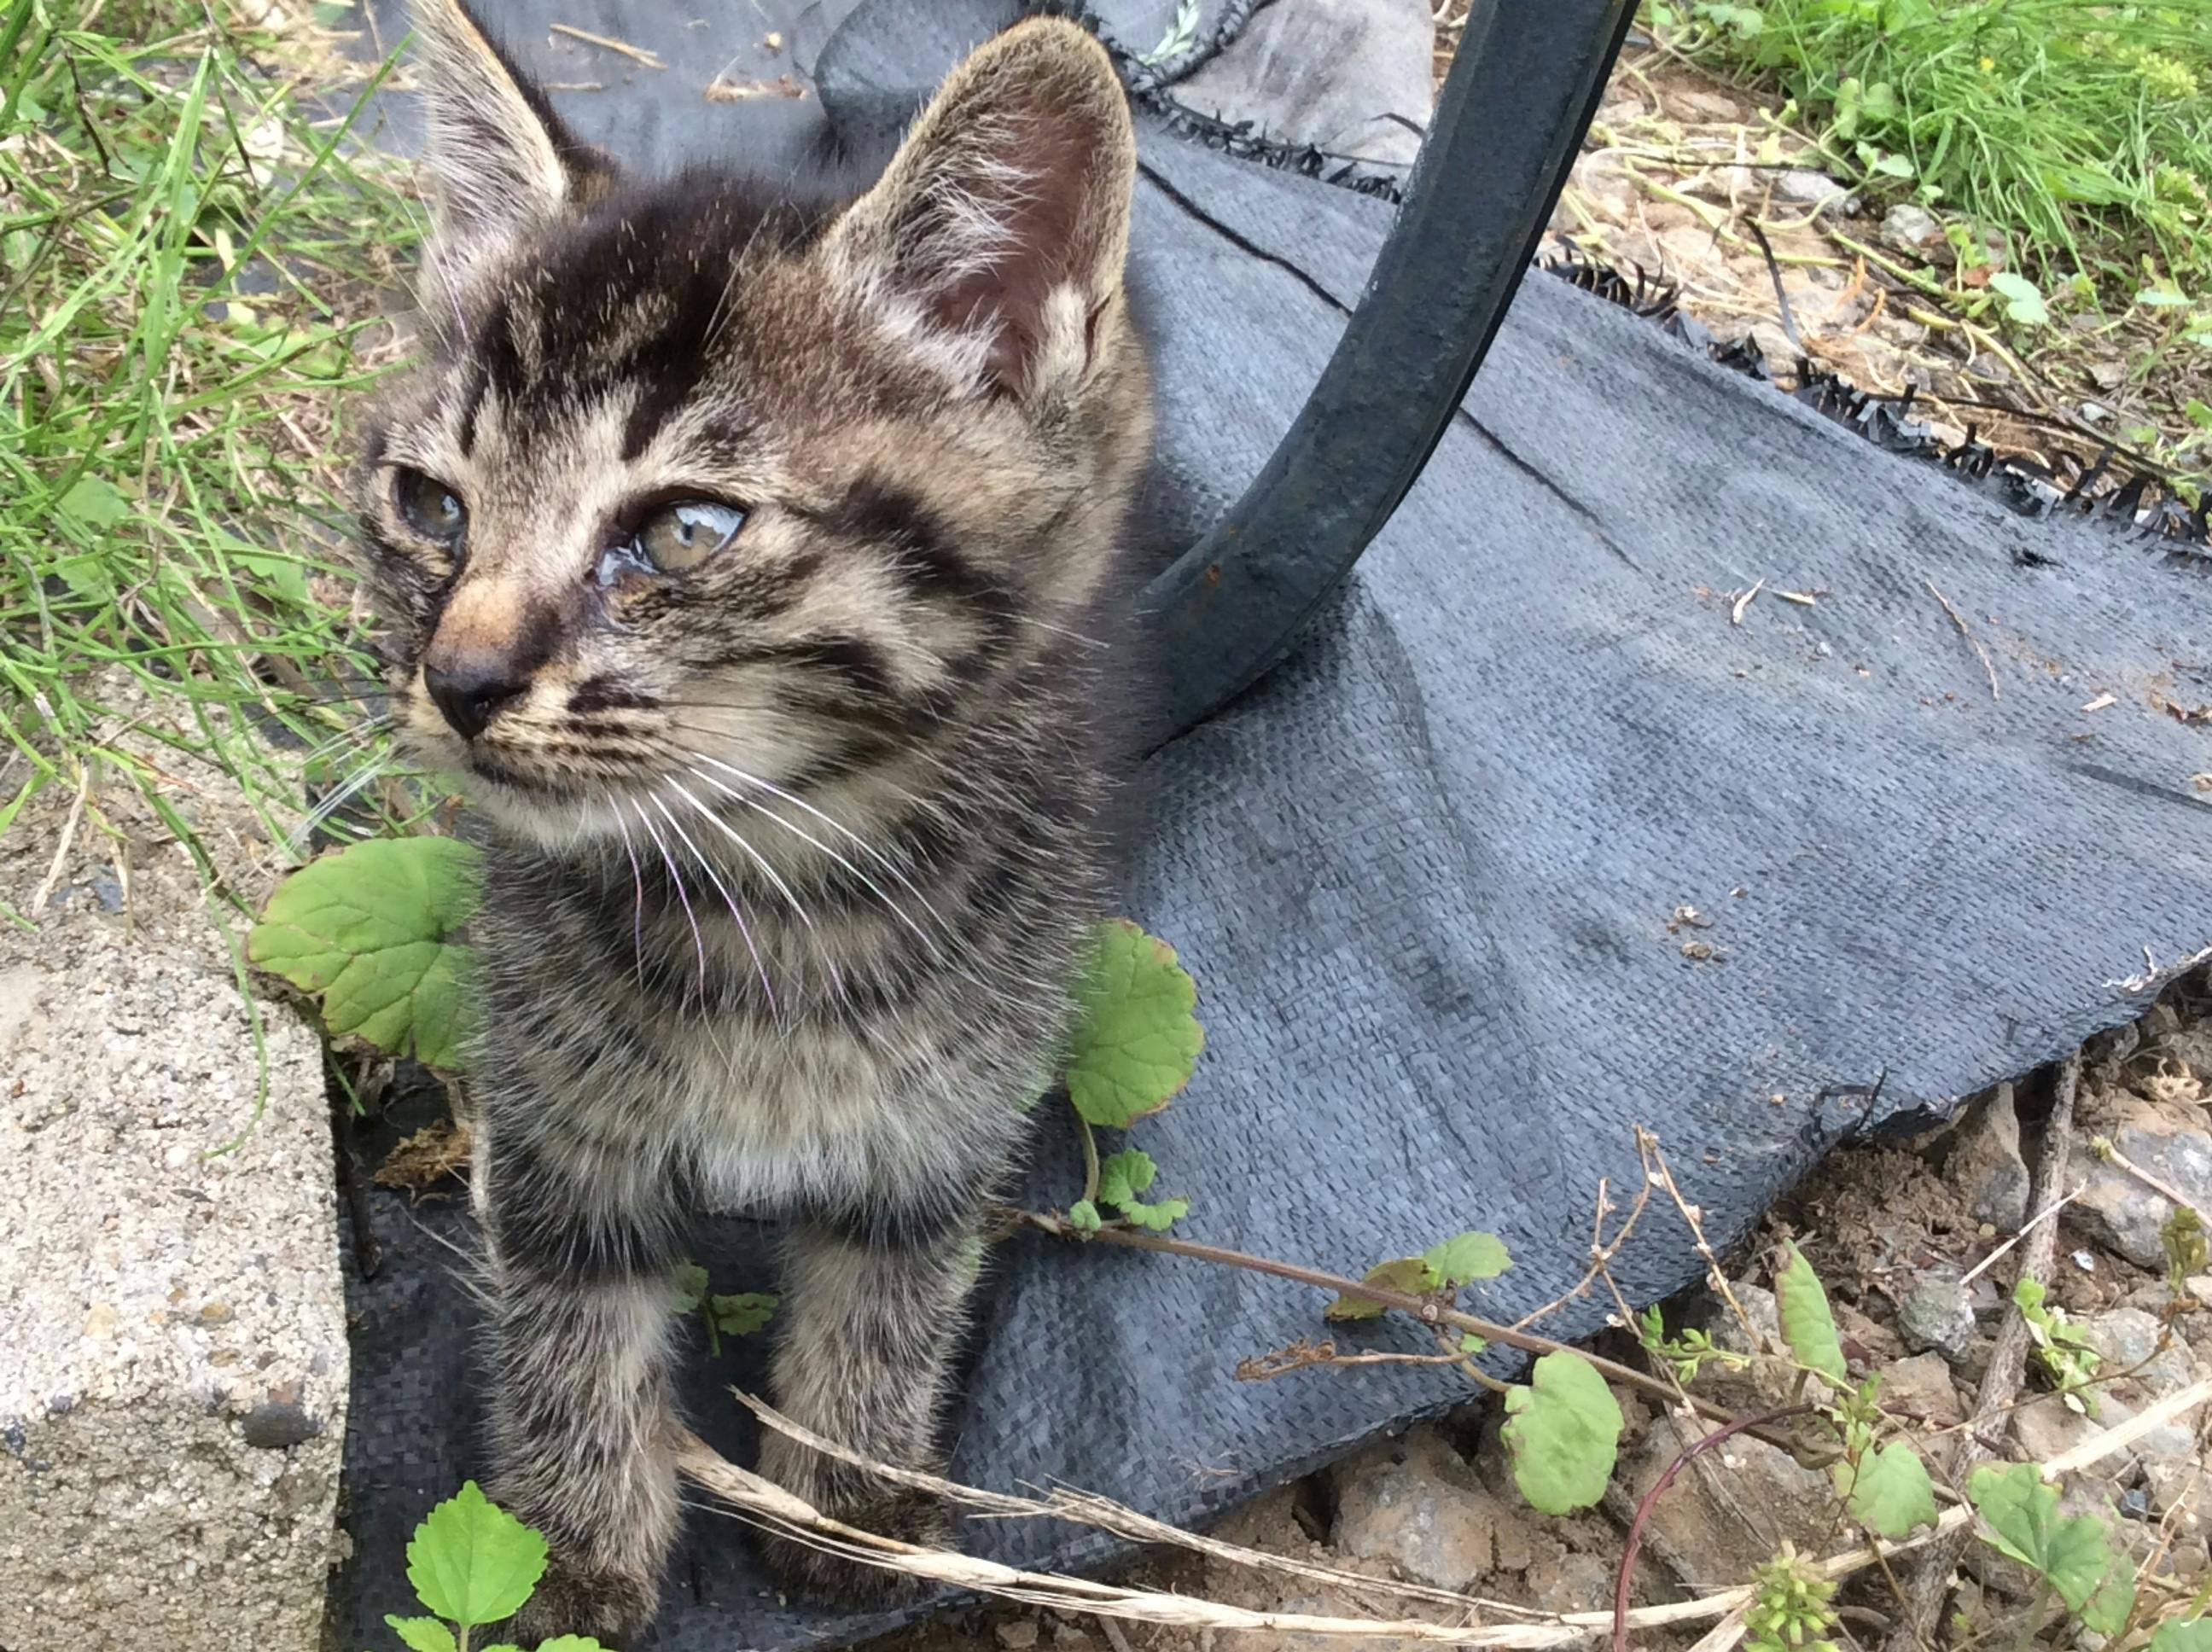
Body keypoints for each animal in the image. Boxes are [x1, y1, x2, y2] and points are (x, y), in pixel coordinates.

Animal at [351, 1, 1152, 1640]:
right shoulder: (556, 1123)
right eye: (433, 507)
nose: (456, 678)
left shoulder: (942, 1121)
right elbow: (570, 1314)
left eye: (684, 531)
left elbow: (893, 1286)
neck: (773, 877)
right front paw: (570, 1550)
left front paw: (852, 1499)